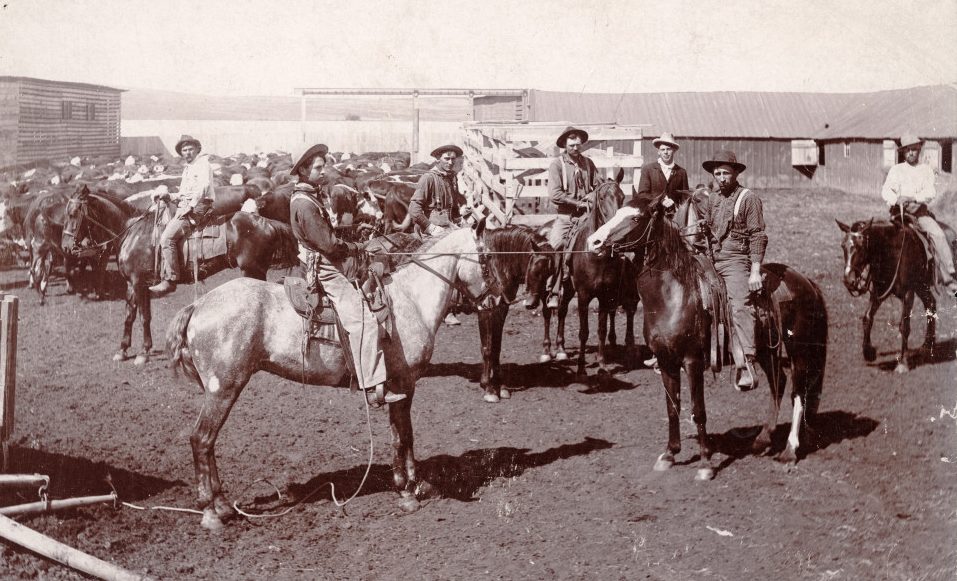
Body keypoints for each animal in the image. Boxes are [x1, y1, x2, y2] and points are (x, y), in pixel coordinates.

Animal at [588, 193, 824, 474]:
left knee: (798, 394)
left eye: (635, 217)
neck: (674, 295)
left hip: (799, 350)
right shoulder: (666, 361)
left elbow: (697, 409)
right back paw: (763, 440)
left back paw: (789, 451)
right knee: (778, 384)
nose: (594, 241)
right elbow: (672, 408)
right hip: (767, 351)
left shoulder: (692, 360)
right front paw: (670, 454)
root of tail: (806, 282)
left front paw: (705, 463)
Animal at [832, 216, 952, 372]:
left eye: (860, 246)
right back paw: (927, 346)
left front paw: (902, 363)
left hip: (920, 285)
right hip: (920, 285)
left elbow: (904, 326)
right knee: (930, 303)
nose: (848, 280)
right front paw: (868, 352)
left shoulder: (908, 293)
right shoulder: (879, 292)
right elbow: (867, 318)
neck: (893, 252)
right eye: (843, 246)